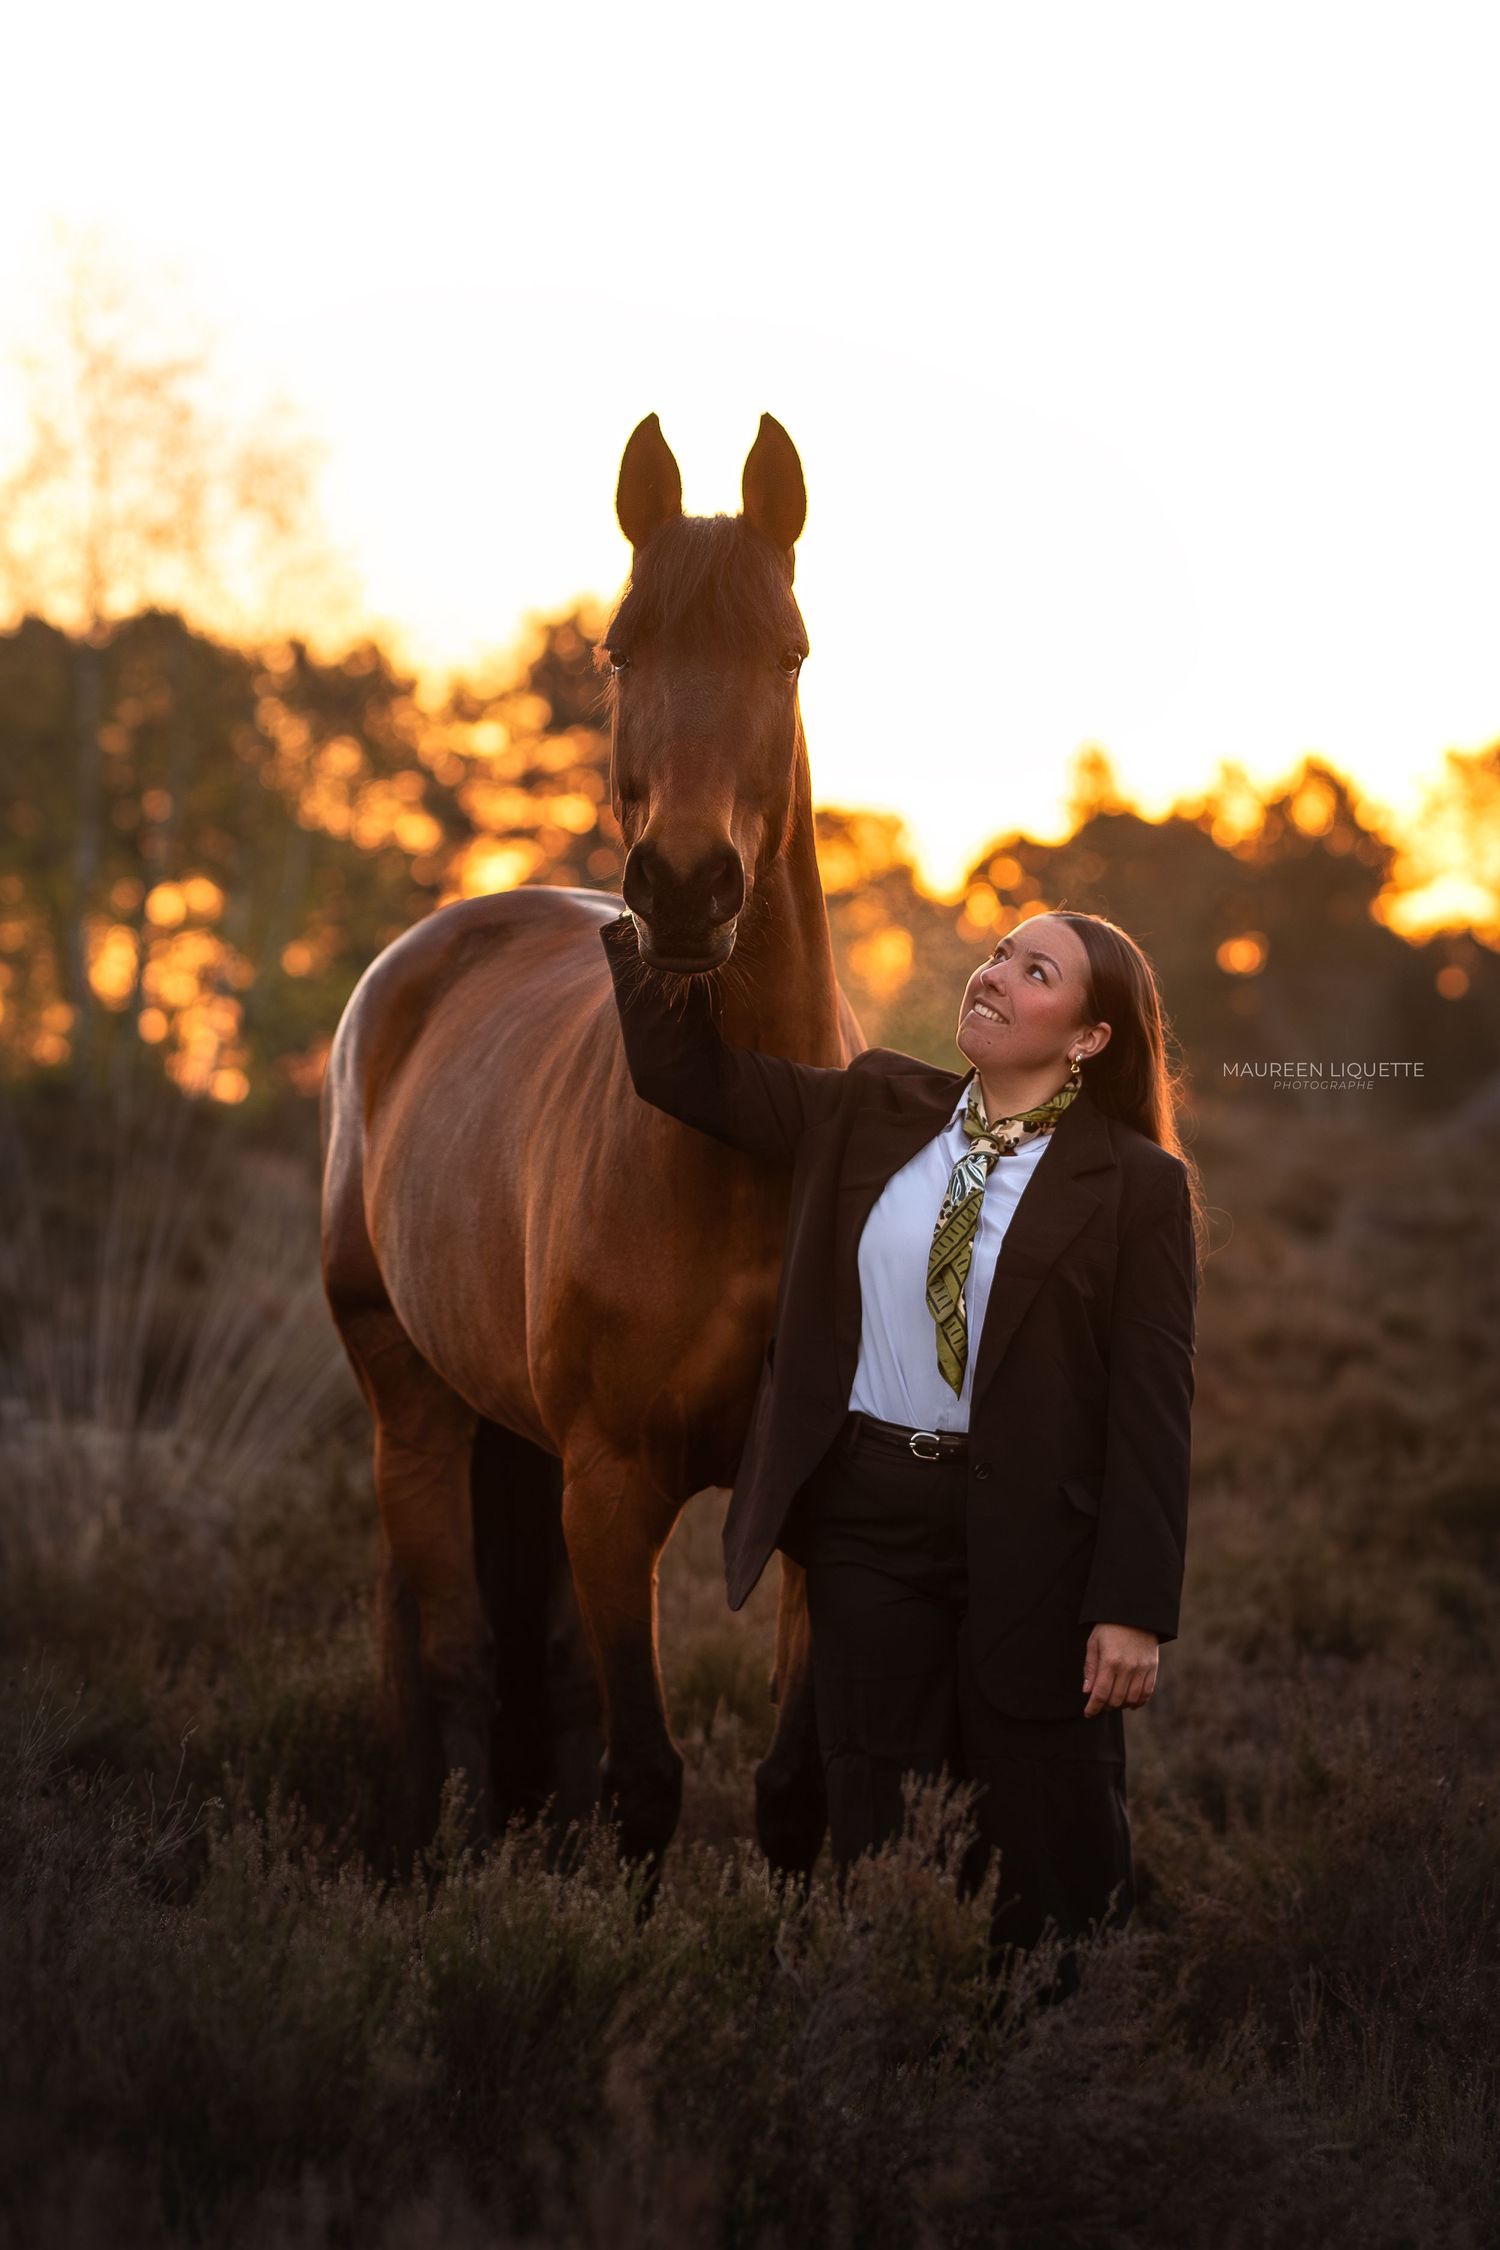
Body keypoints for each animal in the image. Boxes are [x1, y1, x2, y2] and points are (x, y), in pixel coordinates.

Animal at [320, 411, 865, 1874]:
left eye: (789, 653)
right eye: (621, 651)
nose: (684, 887)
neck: (745, 1135)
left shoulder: (817, 1497)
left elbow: (795, 1790)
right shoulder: (613, 1489)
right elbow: (646, 1783)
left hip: (519, 1445)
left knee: (538, 1671)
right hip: (416, 1411)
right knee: (451, 1656)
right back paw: (445, 1854)